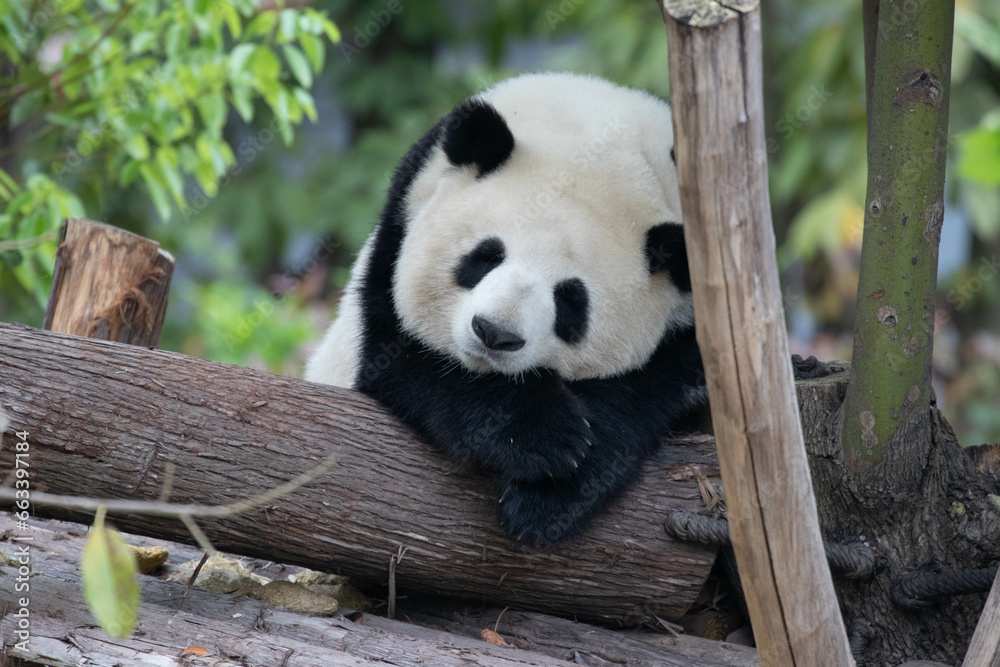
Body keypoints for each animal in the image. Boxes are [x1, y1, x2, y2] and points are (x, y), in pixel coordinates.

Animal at [306, 72, 707, 546]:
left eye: (571, 300)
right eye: (486, 256)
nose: (494, 333)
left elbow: (642, 392)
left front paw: (551, 495)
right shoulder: (397, 233)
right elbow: (411, 366)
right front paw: (541, 435)